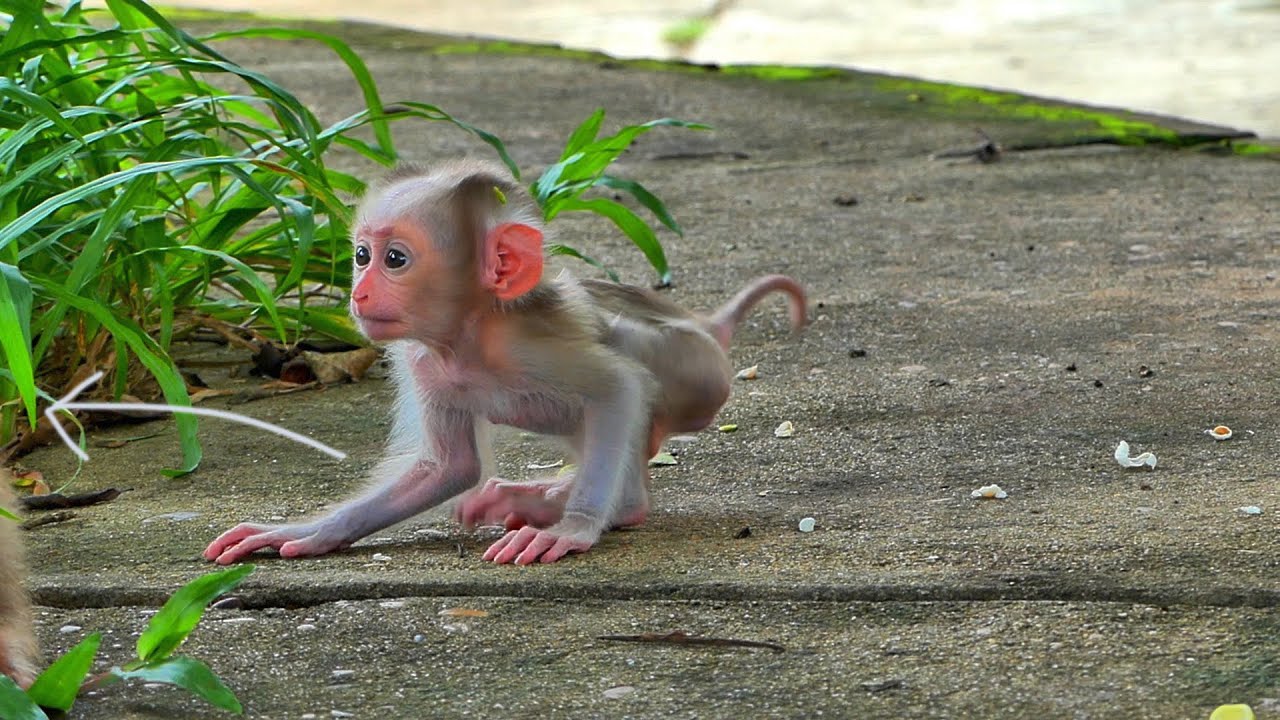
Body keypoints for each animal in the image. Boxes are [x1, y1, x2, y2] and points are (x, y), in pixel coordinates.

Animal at [205, 159, 806, 566]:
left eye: (394, 259)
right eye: (360, 256)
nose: (360, 292)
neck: (469, 337)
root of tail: (707, 327)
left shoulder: (527, 345)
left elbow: (619, 389)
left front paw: (572, 530)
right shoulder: (423, 362)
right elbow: (449, 468)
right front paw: (306, 531)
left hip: (695, 371)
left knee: (628, 366)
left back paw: (606, 507)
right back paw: (538, 499)